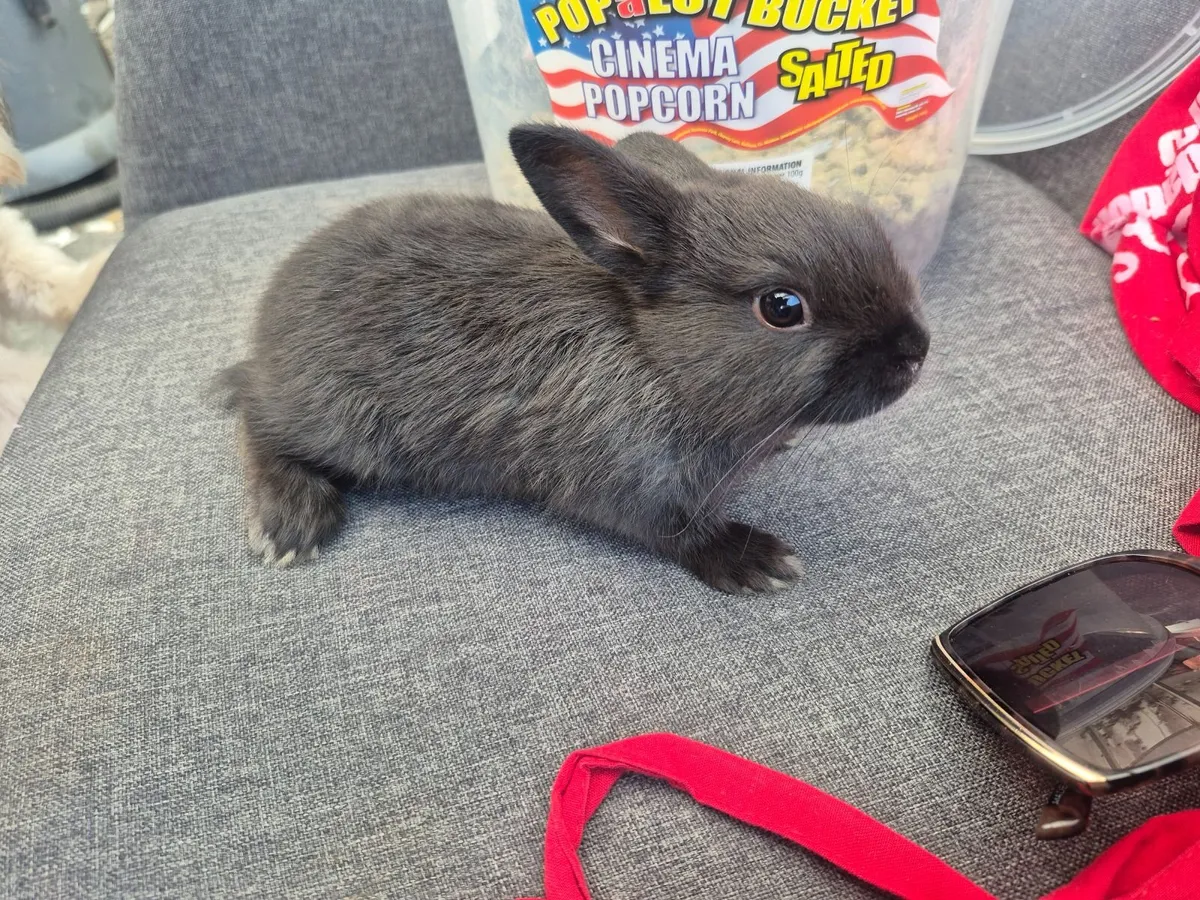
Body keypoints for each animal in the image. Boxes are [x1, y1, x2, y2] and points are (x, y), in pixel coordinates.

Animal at [224, 124, 928, 594]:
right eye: (782, 307)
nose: (915, 351)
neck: (658, 359)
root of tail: (265, 331)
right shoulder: (633, 481)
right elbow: (677, 531)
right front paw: (756, 560)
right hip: (346, 426)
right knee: (259, 423)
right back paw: (290, 523)